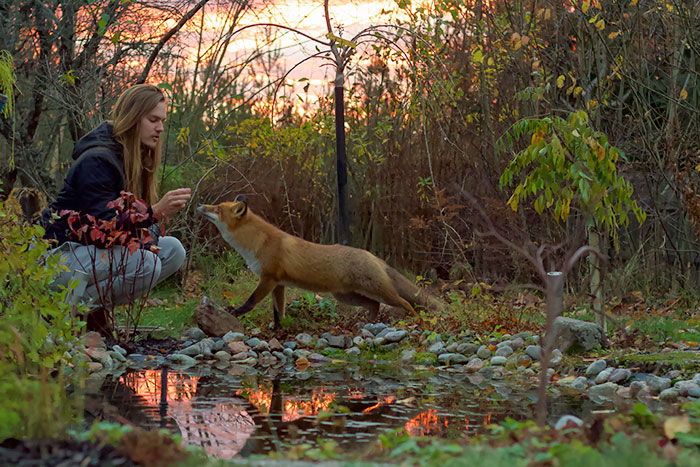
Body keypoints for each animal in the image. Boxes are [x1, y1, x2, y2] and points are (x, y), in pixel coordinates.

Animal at [196, 195, 438, 330]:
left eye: (218, 208)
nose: (199, 205)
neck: (257, 243)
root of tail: (371, 254)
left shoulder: (268, 279)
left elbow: (250, 302)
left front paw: (234, 313)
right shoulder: (278, 284)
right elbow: (278, 312)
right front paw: (277, 331)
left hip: (379, 291)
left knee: (405, 303)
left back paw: (418, 323)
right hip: (346, 296)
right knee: (374, 305)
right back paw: (369, 324)